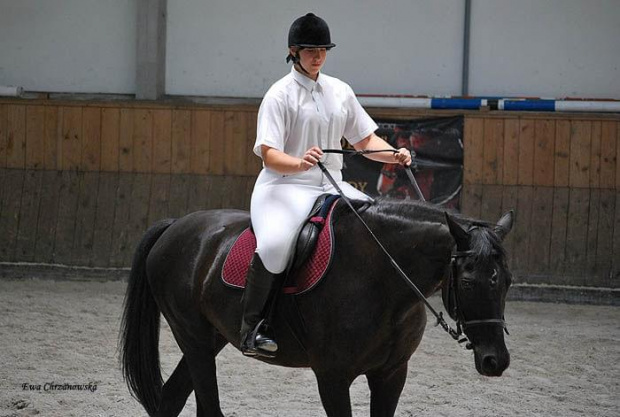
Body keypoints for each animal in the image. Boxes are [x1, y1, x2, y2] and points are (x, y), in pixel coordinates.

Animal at [120, 199, 512, 416]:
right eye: (467, 282)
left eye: (506, 280)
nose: (496, 361)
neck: (382, 280)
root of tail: (177, 225)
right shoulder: (333, 378)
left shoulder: (391, 374)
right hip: (194, 337)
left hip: (210, 339)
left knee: (171, 398)